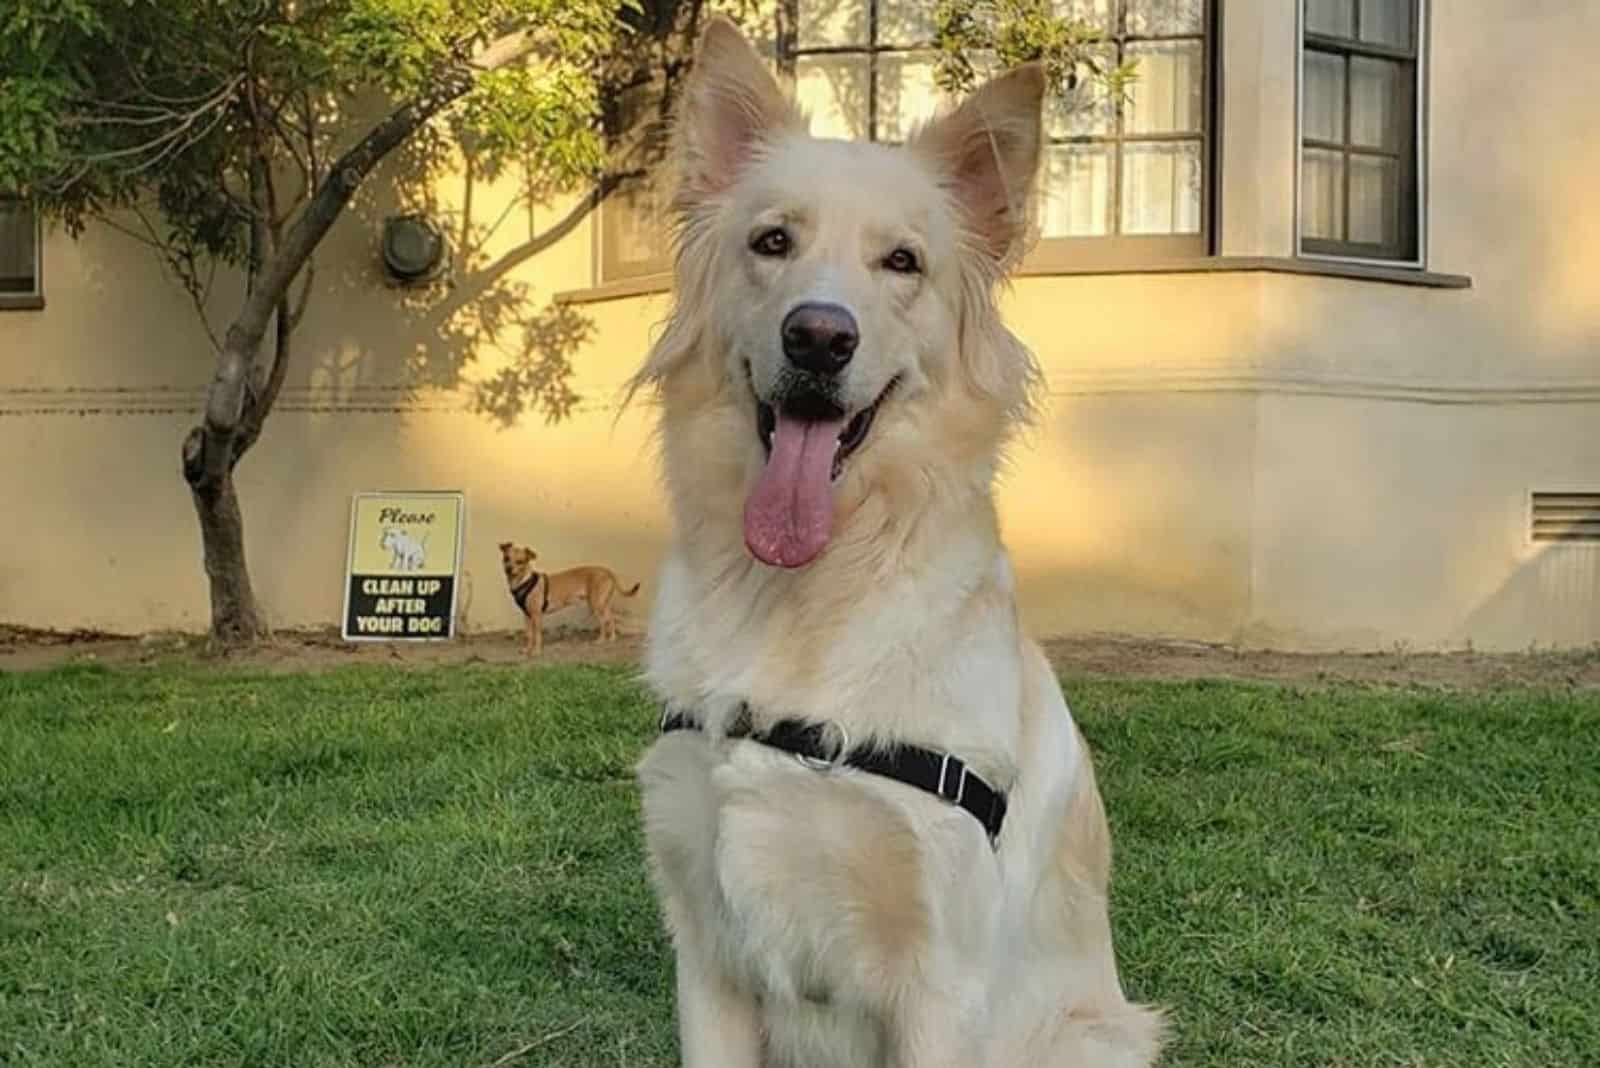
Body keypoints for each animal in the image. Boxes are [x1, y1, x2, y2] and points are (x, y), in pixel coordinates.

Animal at [499, 537, 636, 655]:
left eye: (520, 562)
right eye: (506, 558)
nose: (508, 569)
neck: (523, 580)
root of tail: (608, 571)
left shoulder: (536, 615)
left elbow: (537, 635)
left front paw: (536, 651)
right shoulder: (527, 616)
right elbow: (529, 635)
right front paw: (527, 650)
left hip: (595, 604)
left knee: (604, 621)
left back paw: (601, 640)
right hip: (603, 603)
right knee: (611, 618)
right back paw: (612, 638)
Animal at [624, 16, 1164, 1068]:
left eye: (903, 262)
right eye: (773, 241)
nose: (818, 338)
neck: (804, 596)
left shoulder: (940, 979)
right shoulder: (705, 956)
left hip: (1094, 1037)